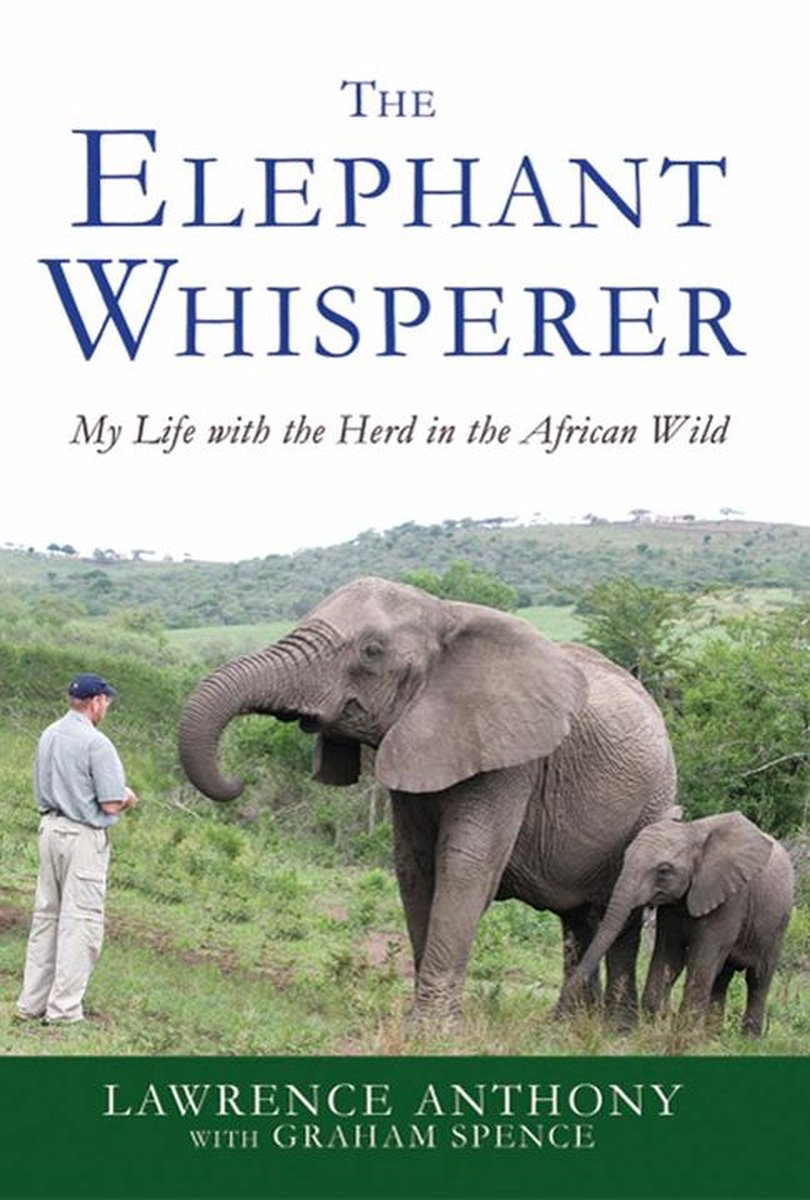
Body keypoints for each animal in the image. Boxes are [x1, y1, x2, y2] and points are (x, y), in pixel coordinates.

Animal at [178, 576, 677, 1024]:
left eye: (371, 650)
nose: (236, 780)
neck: (446, 614)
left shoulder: (513, 758)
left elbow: (466, 865)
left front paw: (432, 1029)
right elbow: (415, 865)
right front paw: (418, 1019)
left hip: (655, 800)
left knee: (622, 915)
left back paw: (614, 1028)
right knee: (577, 919)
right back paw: (569, 1024)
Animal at [558, 810, 795, 1035]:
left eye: (664, 871)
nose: (556, 1015)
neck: (692, 831)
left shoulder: (730, 899)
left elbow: (702, 959)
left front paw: (684, 1034)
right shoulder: (673, 907)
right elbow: (669, 954)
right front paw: (658, 1025)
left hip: (779, 924)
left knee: (758, 978)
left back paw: (747, 1040)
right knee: (722, 978)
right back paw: (712, 1037)